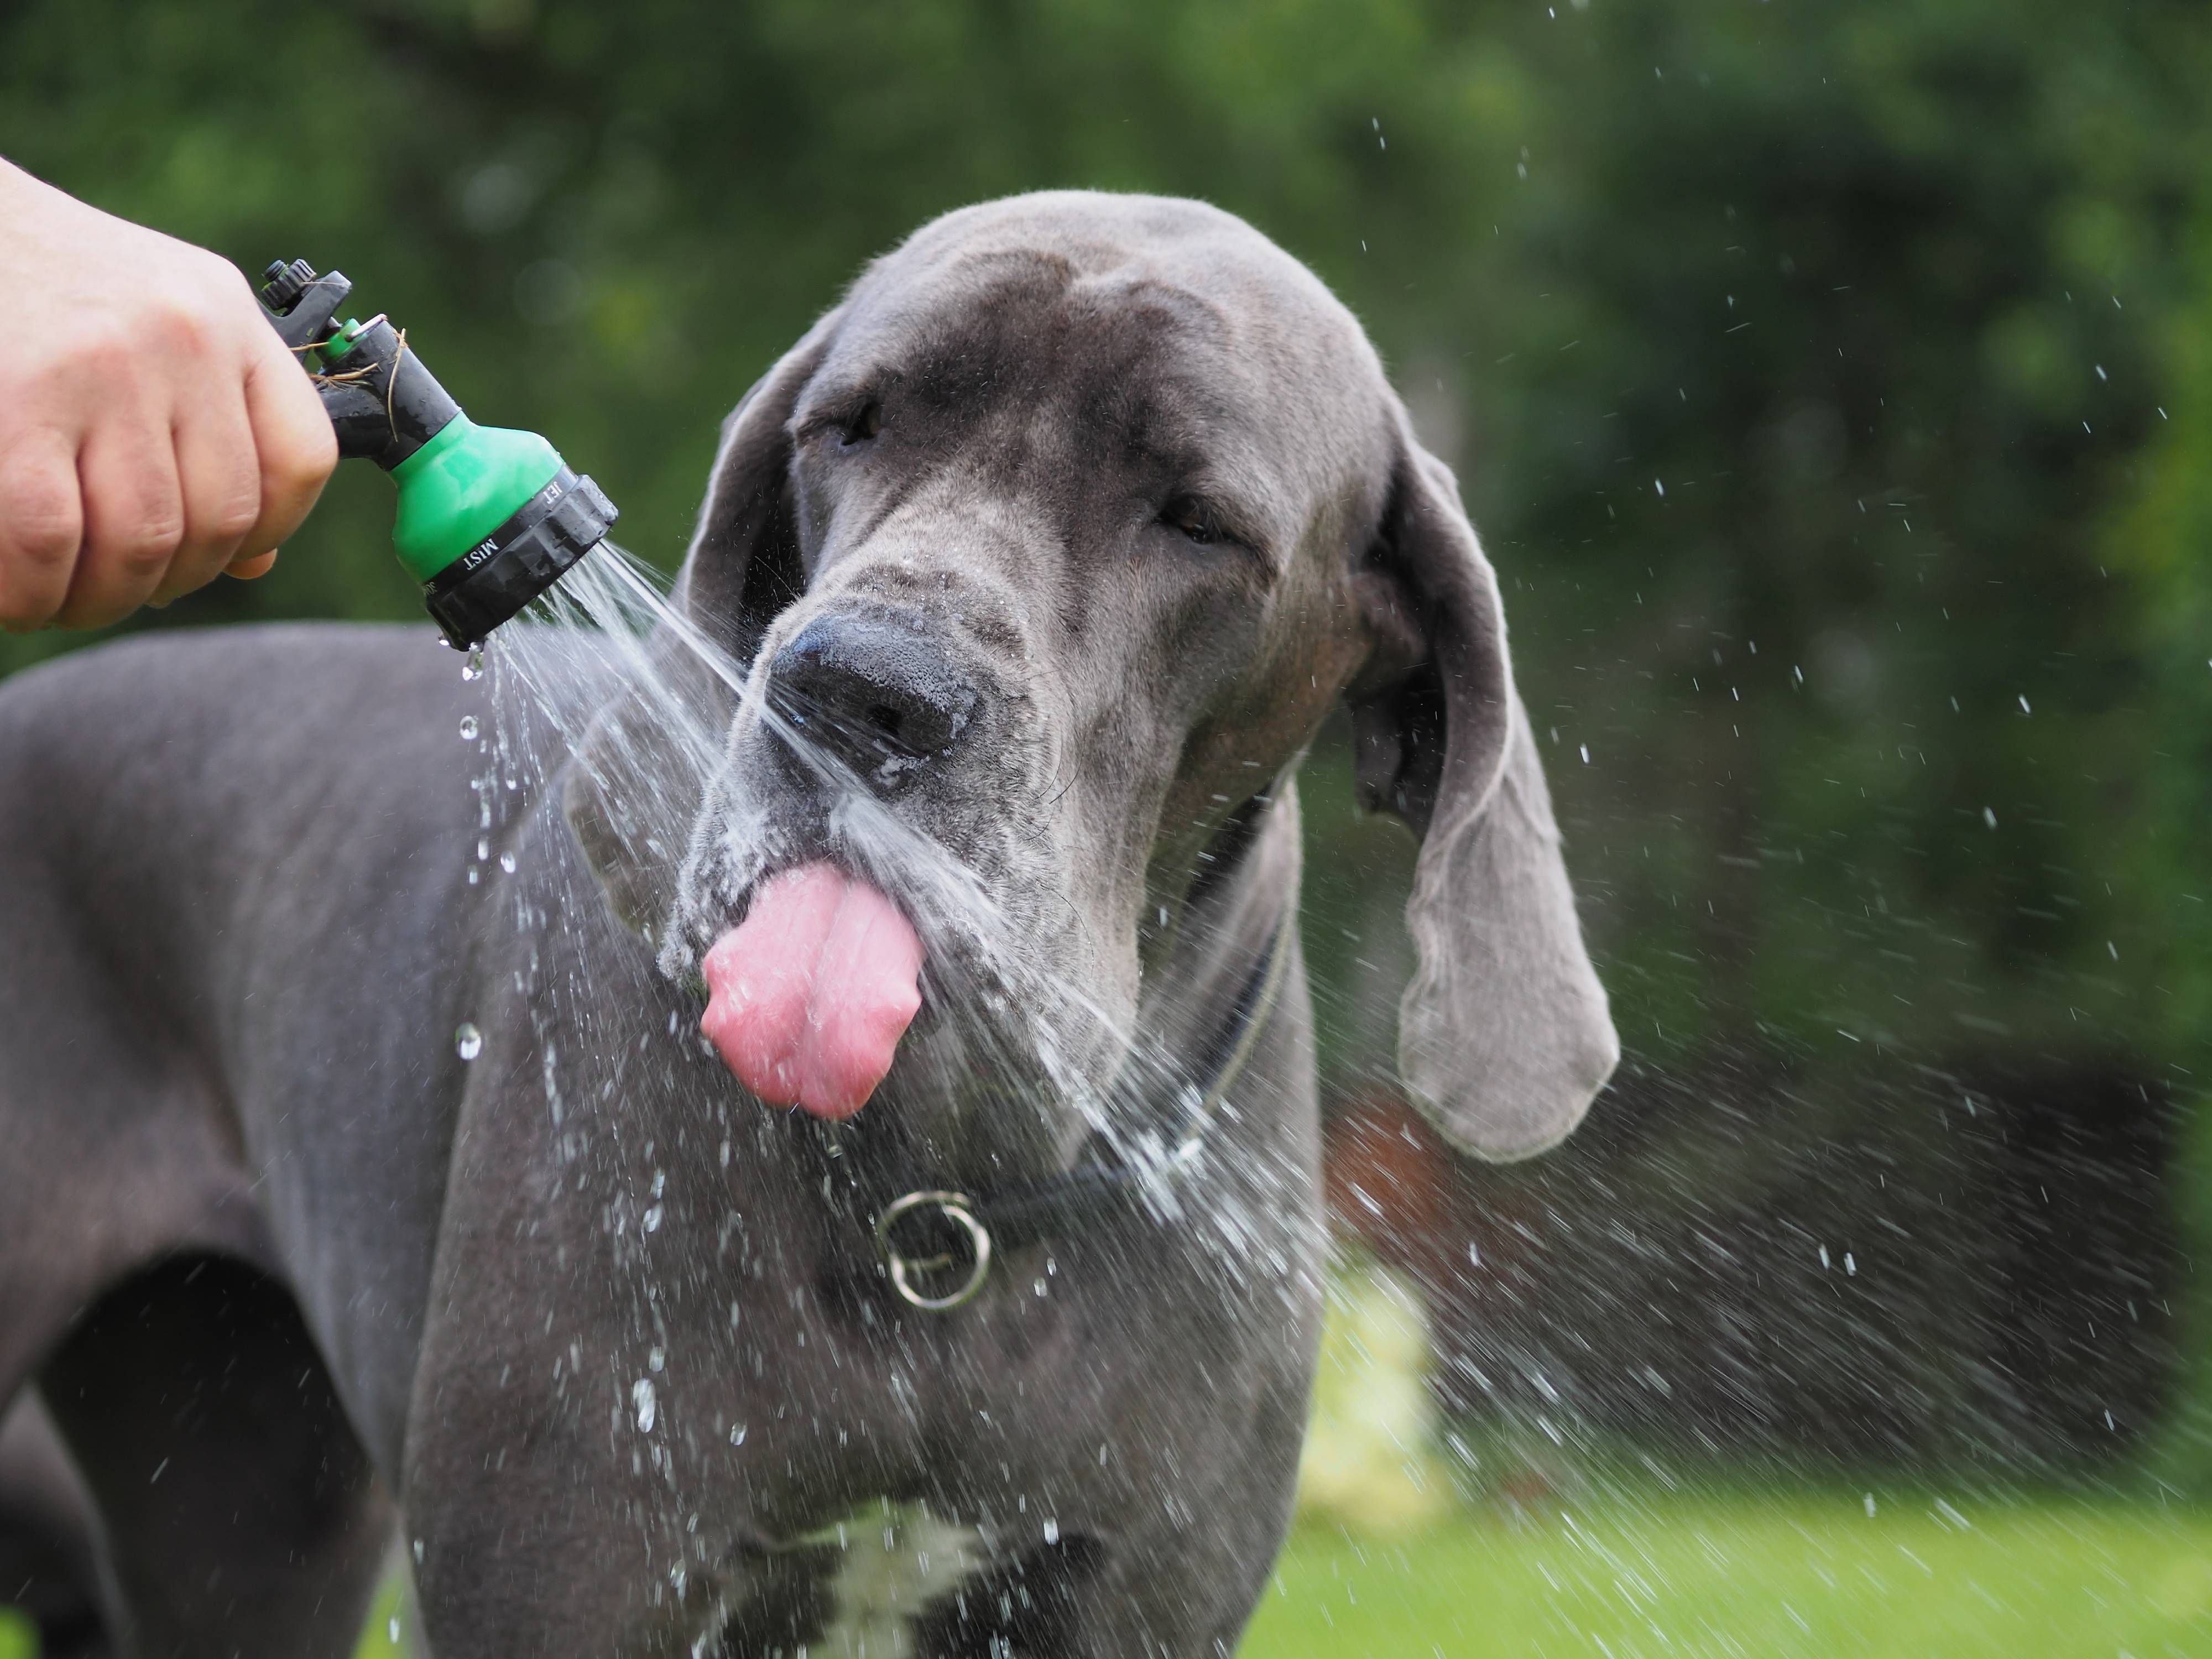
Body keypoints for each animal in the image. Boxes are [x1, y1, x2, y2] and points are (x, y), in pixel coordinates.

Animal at [0, 198, 1628, 1659]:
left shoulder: (1132, 1596)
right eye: (847, 428)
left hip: (244, 1486)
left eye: (1198, 519)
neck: (947, 1215)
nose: (859, 691)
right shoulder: (579, 1570)